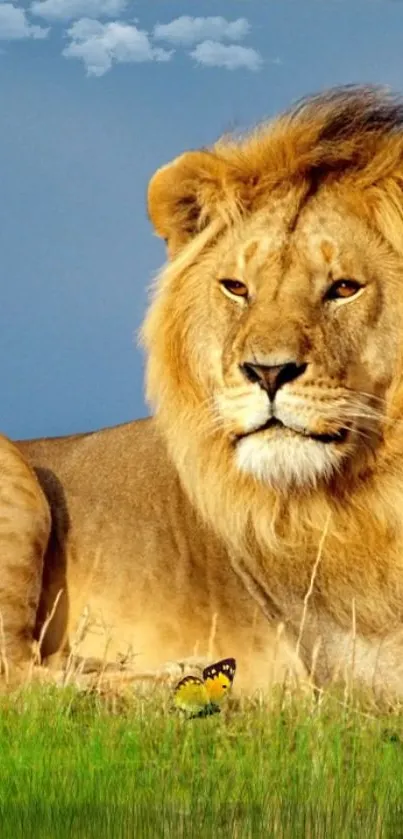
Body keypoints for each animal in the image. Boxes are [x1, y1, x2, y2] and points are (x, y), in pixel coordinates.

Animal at [2, 85, 403, 700]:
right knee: (20, 679)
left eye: (344, 289)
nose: (267, 373)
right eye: (237, 288)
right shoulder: (352, 663)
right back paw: (188, 682)